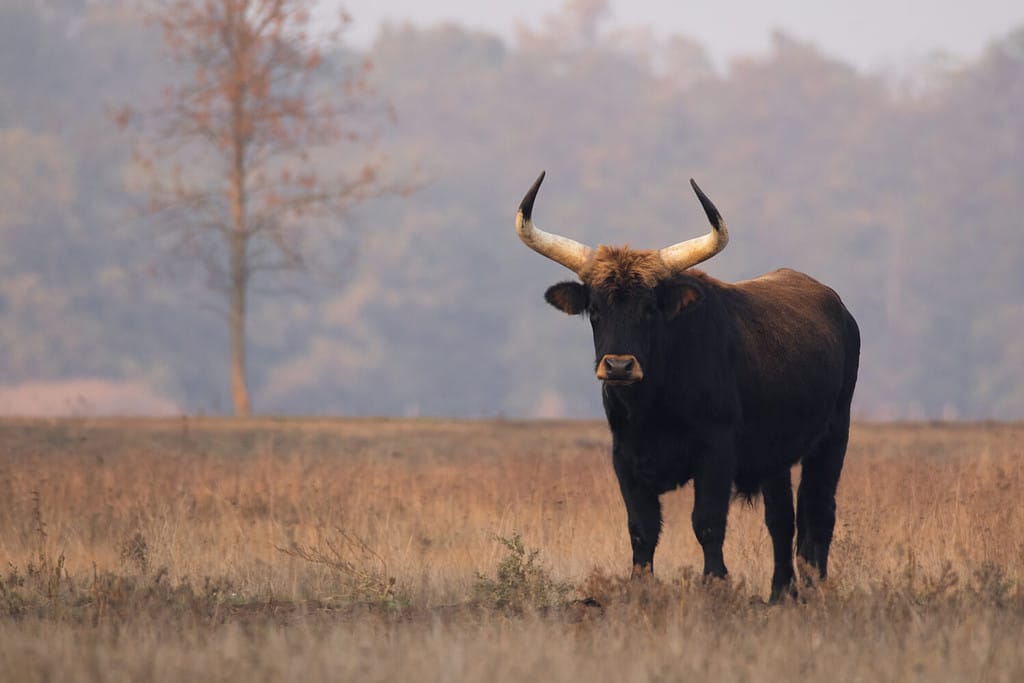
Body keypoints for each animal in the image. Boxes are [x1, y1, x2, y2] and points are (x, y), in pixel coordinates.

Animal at [516, 174, 860, 602]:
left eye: (649, 309)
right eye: (595, 310)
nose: (619, 366)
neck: (652, 409)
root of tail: (841, 310)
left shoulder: (715, 453)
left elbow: (707, 523)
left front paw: (715, 585)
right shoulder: (624, 459)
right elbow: (642, 530)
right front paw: (639, 588)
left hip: (833, 438)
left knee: (819, 513)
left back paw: (814, 590)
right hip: (775, 458)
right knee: (782, 520)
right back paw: (780, 594)